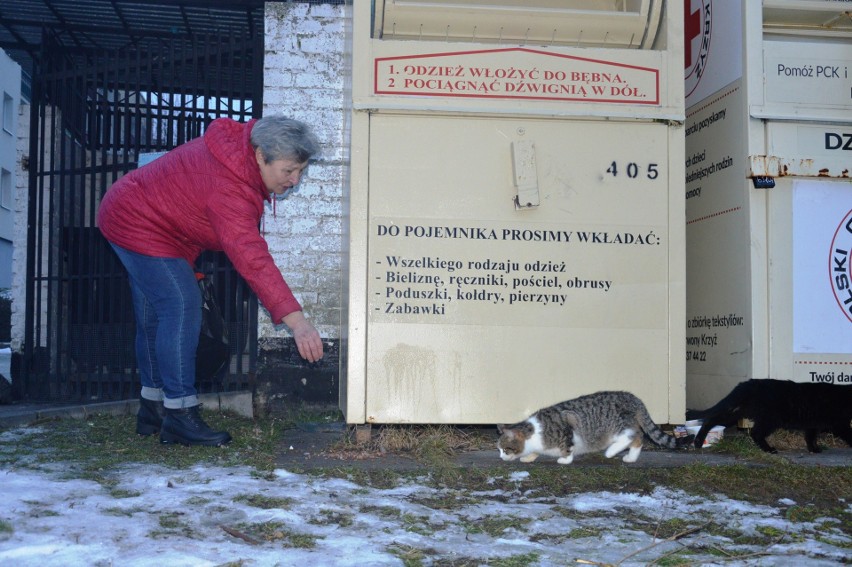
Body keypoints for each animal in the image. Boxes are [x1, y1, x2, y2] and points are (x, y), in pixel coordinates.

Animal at [500, 390, 684, 466]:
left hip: (616, 425)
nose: (501, 457)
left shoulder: (567, 429)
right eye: (500, 450)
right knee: (638, 438)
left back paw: (610, 452)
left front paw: (565, 460)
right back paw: (631, 458)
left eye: (505, 449)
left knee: (632, 435)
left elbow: (568, 448)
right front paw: (529, 457)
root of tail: (633, 398)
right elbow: (535, 452)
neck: (534, 432)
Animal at [684, 380, 852, 454]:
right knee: (756, 433)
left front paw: (814, 449)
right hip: (770, 419)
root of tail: (747, 383)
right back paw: (769, 449)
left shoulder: (813, 425)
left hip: (738, 413)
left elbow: (810, 437)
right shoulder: (840, 424)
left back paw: (698, 441)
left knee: (711, 419)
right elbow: (849, 435)